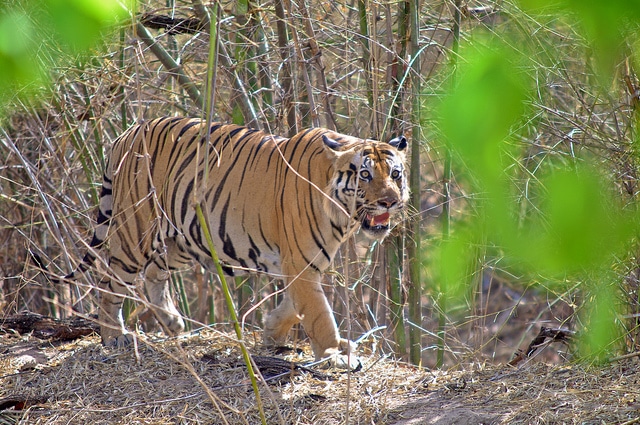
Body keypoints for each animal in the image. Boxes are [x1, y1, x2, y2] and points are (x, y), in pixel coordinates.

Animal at [66, 117, 404, 364]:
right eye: (364, 175)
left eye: (396, 174)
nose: (390, 201)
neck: (344, 214)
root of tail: (127, 133)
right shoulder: (301, 261)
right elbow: (318, 312)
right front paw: (335, 354)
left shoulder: (306, 263)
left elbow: (295, 305)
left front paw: (272, 332)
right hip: (135, 231)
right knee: (110, 281)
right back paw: (114, 336)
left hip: (181, 238)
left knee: (153, 273)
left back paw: (173, 323)